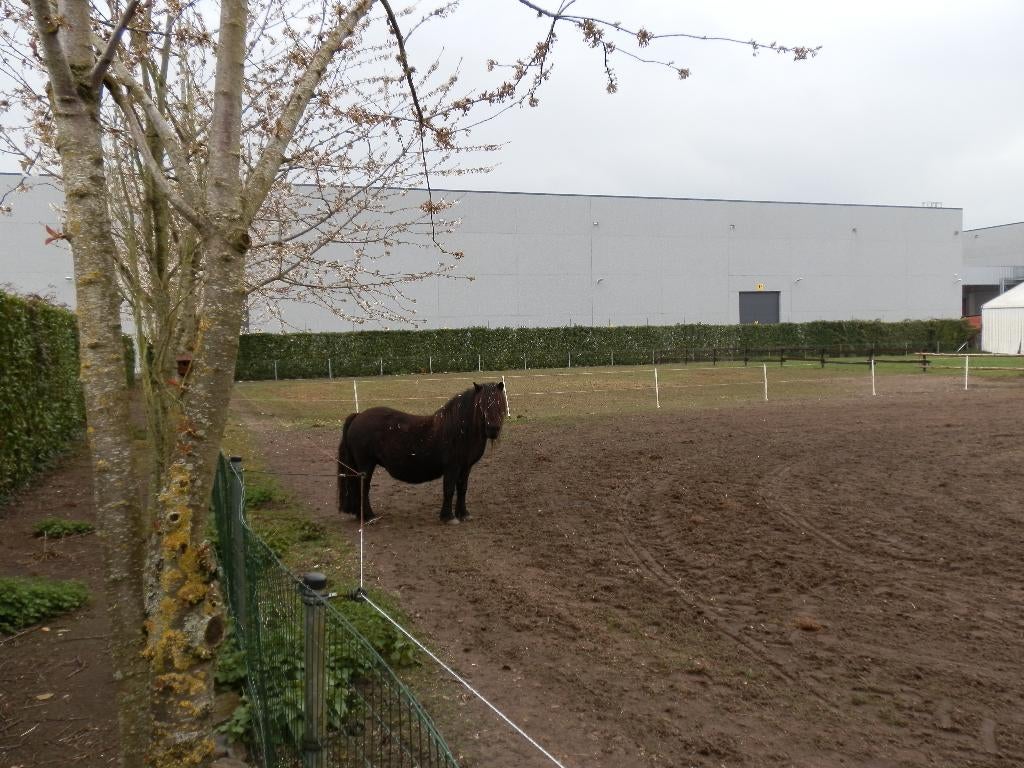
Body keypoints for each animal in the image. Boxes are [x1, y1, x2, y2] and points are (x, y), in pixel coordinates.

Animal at [337, 381, 507, 524]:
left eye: (500, 404)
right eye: (480, 405)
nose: (493, 429)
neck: (461, 431)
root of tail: (358, 416)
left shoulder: (465, 467)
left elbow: (462, 489)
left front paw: (463, 514)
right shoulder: (452, 467)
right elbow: (449, 489)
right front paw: (448, 517)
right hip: (366, 465)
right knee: (363, 488)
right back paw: (369, 517)